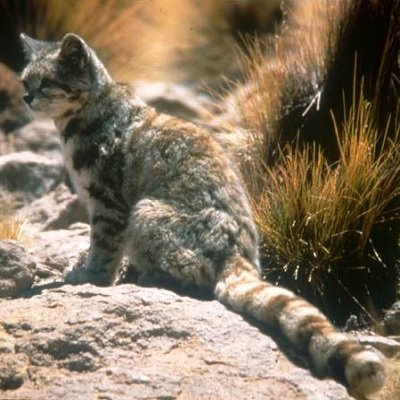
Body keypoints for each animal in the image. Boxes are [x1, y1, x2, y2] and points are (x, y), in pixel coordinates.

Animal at [21, 32, 384, 396]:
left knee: (196, 275)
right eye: (25, 80)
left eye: (47, 82)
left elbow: (103, 247)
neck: (82, 116)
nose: (25, 97)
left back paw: (150, 276)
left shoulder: (109, 201)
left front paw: (90, 276)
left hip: (146, 214)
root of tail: (240, 255)